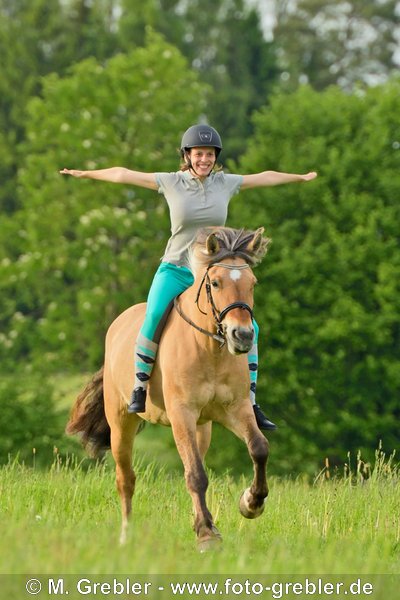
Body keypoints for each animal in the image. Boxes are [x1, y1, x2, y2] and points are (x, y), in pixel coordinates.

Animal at [66, 225, 272, 548]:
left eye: (253, 283)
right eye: (215, 283)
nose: (242, 336)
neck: (209, 349)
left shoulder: (236, 409)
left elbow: (259, 448)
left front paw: (250, 504)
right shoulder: (181, 414)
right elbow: (196, 474)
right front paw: (207, 536)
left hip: (203, 428)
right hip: (121, 424)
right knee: (126, 479)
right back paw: (126, 535)